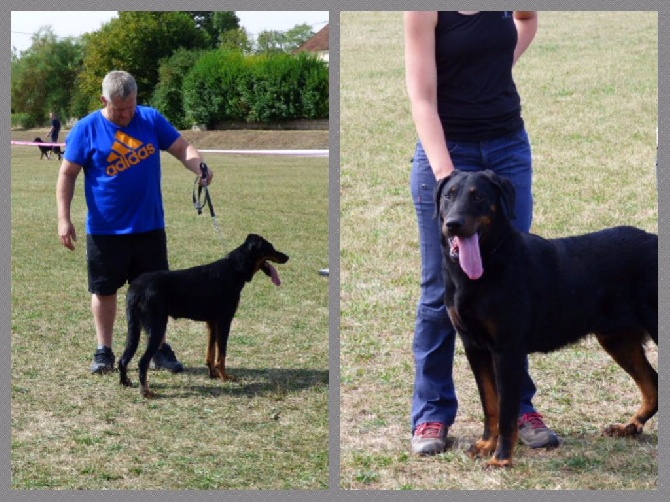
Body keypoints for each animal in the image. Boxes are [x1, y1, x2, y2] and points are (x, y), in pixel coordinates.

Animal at [121, 233, 288, 398]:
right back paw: (146, 391)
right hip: (157, 327)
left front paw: (213, 373)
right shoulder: (224, 321)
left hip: (134, 327)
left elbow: (211, 352)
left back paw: (125, 382)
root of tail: (136, 288)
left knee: (124, 358)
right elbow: (222, 354)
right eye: (270, 248)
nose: (287, 257)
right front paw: (225, 377)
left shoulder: (212, 323)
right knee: (142, 362)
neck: (234, 269)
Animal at [436, 171, 660, 468]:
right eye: (448, 195)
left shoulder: (507, 350)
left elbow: (507, 411)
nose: (453, 224)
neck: (489, 262)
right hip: (617, 339)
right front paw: (486, 445)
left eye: (478, 196)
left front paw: (501, 459)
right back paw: (629, 427)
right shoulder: (474, 346)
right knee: (652, 384)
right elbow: (490, 404)